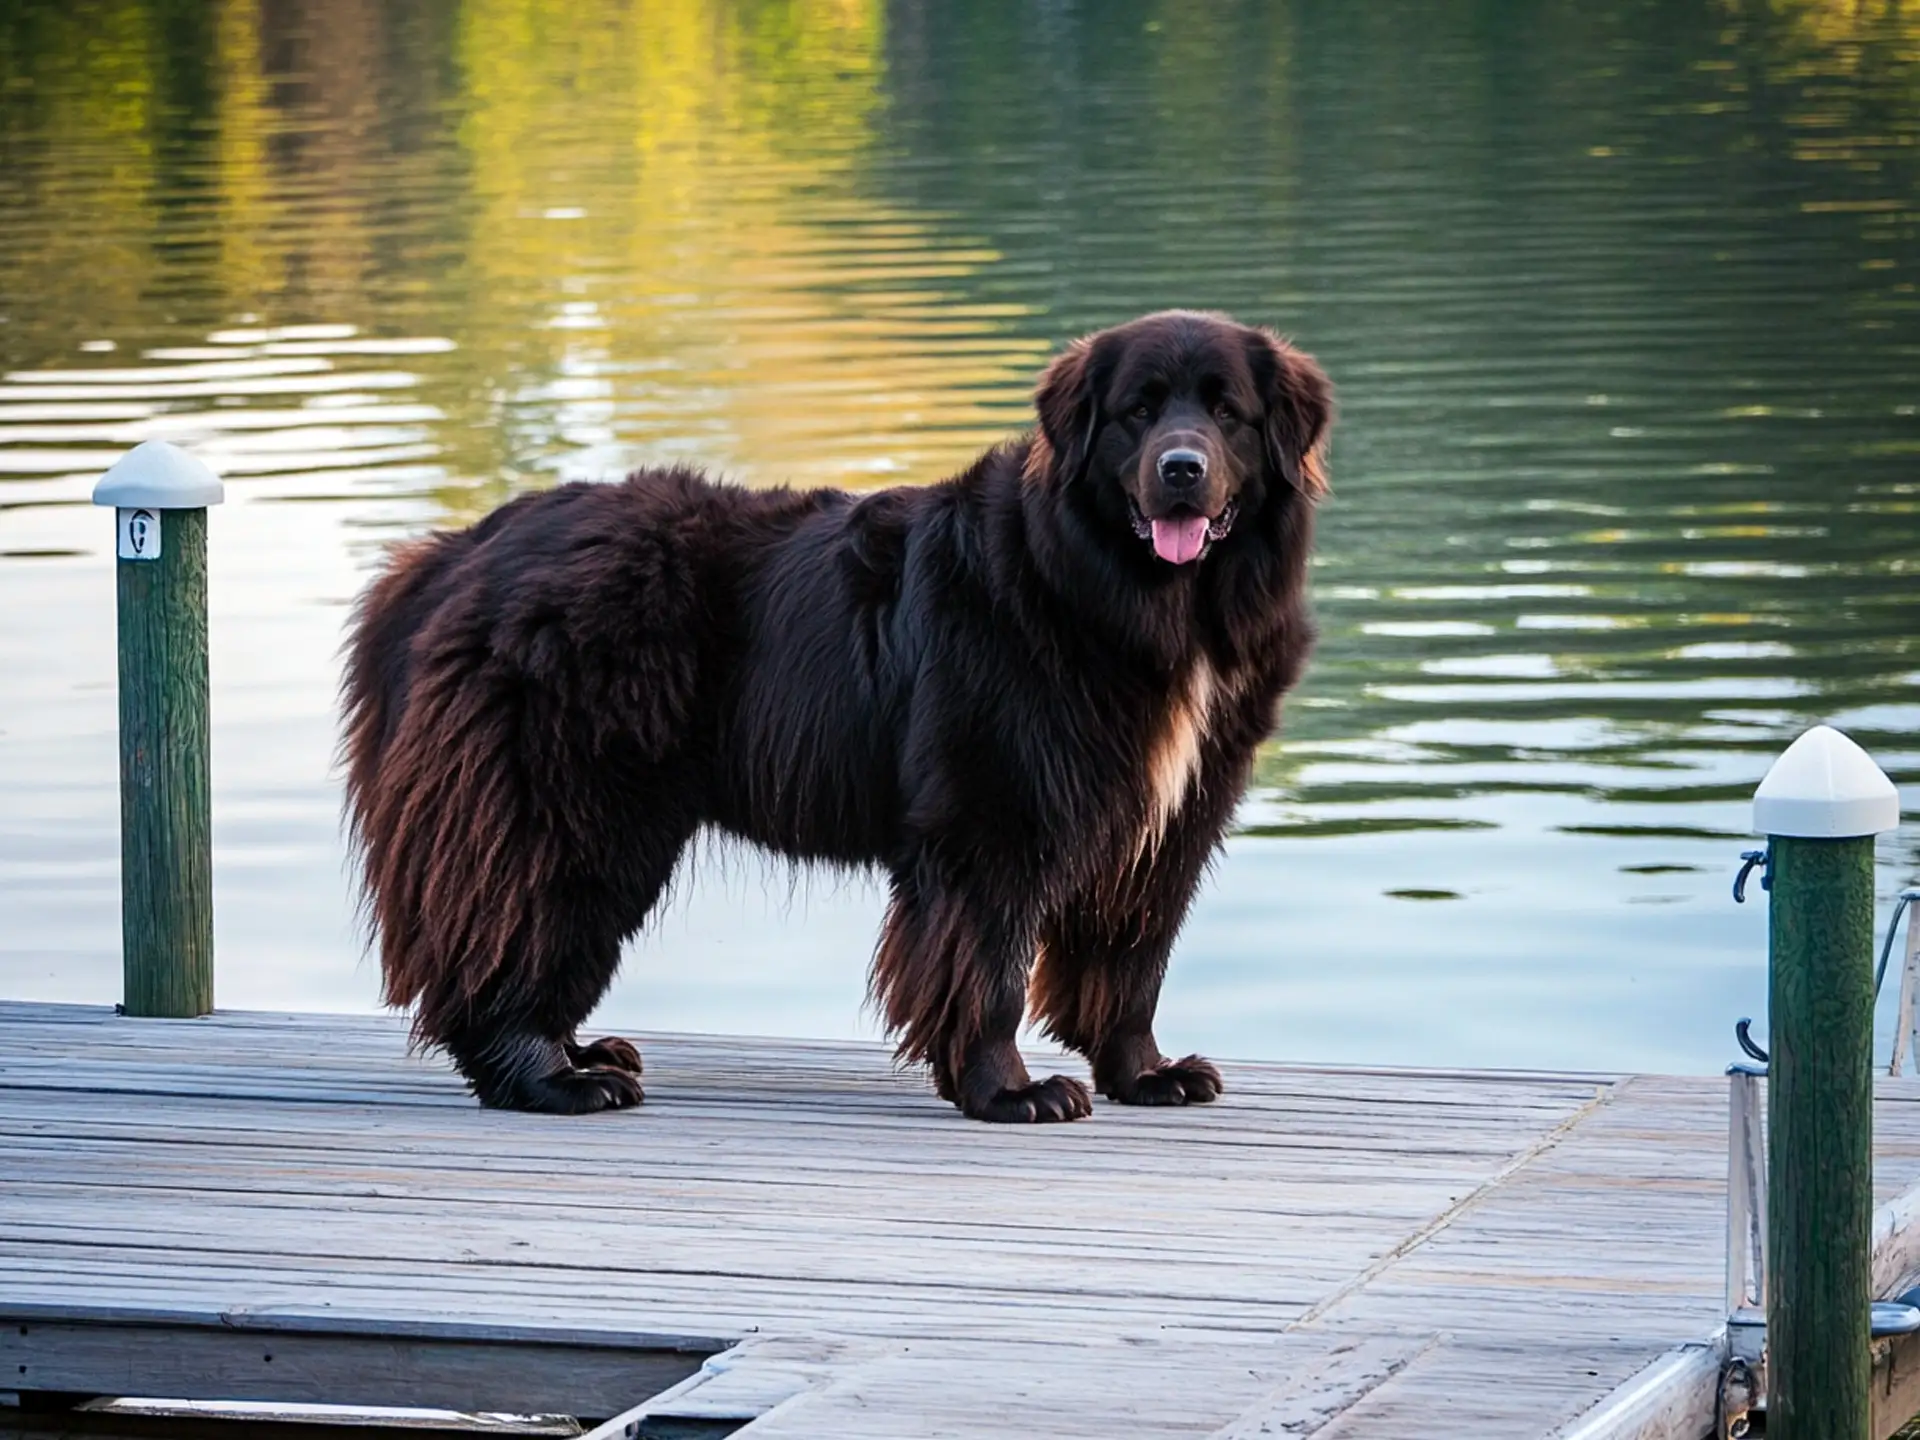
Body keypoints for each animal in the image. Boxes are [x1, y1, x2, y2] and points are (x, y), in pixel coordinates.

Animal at [345, 312, 1328, 1128]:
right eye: (1138, 412)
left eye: (1227, 414)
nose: (1180, 470)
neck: (1129, 597)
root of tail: (460, 550)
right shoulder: (991, 818)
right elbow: (992, 968)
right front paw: (1010, 1092)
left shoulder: (1164, 825)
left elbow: (1131, 963)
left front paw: (1146, 1075)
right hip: (567, 809)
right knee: (513, 932)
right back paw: (553, 1078)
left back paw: (587, 1054)